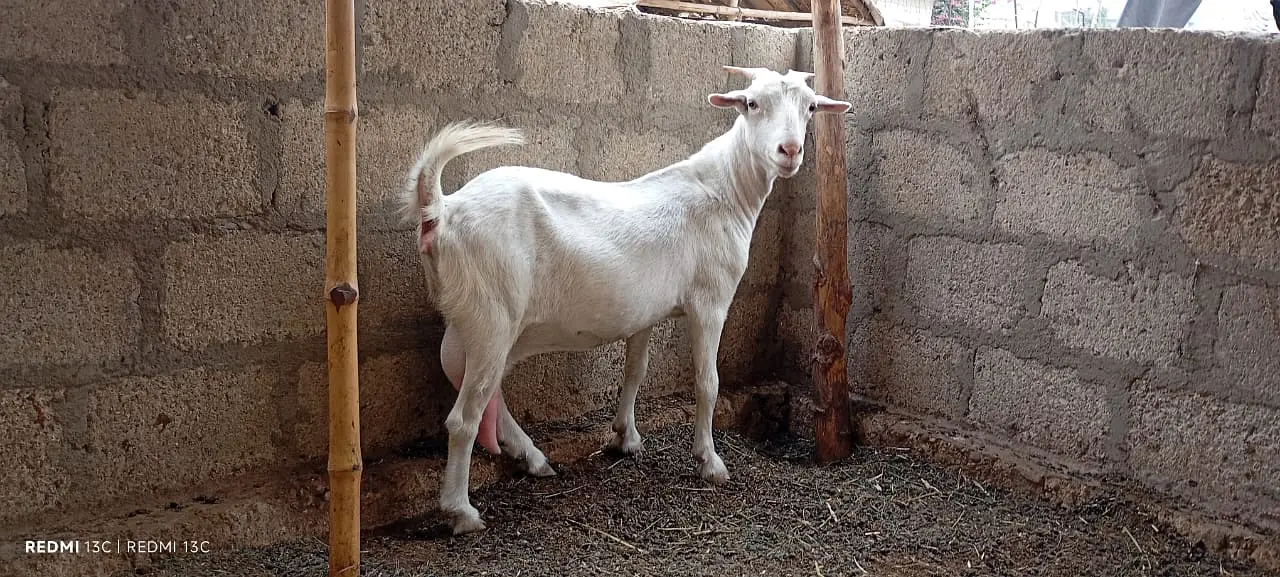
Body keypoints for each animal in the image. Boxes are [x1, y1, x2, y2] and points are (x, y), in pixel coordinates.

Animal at [402, 66, 851, 534]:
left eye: (811, 107)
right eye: (751, 103)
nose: (790, 150)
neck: (725, 191)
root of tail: (442, 212)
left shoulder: (645, 312)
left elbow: (636, 371)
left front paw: (626, 437)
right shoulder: (710, 301)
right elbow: (707, 382)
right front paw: (709, 461)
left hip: (483, 320)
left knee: (478, 385)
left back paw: (534, 459)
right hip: (492, 315)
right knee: (464, 417)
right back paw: (462, 510)